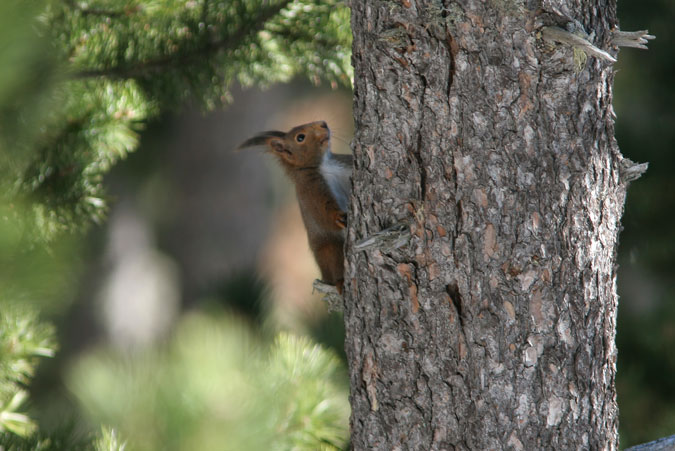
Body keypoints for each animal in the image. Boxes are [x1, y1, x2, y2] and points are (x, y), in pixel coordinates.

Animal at [239, 122, 354, 294]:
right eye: (300, 137)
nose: (324, 123)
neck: (324, 165)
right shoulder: (310, 191)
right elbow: (324, 211)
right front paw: (339, 217)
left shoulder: (344, 163)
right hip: (329, 250)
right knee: (334, 266)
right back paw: (339, 282)